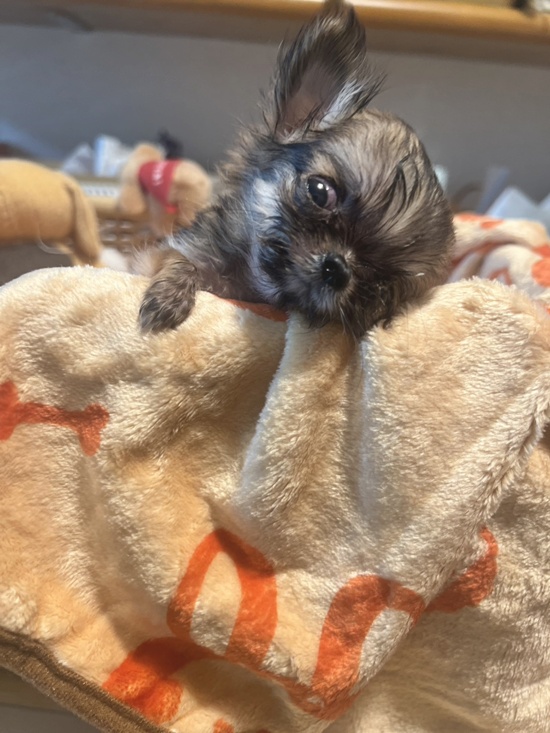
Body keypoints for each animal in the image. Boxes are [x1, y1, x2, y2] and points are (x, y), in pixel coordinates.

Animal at [139, 0, 454, 339]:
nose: (338, 268)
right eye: (320, 192)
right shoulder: (165, 252)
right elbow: (180, 260)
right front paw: (168, 298)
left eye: (382, 286)